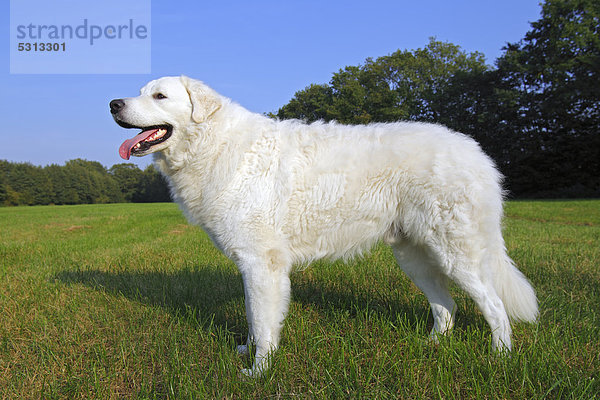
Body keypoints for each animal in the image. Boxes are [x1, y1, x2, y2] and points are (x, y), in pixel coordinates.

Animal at [111, 76, 540, 376]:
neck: (212, 144)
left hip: (456, 252)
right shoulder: (251, 265)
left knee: (494, 306)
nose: (113, 102)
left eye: (160, 96)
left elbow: (263, 323)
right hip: (414, 256)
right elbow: (252, 316)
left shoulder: (262, 264)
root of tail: (475, 151)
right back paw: (432, 346)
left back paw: (499, 359)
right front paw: (247, 353)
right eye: (140, 92)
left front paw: (257, 372)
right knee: (446, 306)